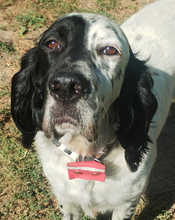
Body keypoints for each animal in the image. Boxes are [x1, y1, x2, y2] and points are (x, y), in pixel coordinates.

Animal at [10, 0, 175, 219]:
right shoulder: (67, 200)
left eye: (110, 50)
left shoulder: (126, 203)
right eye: (51, 43)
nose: (66, 86)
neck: (84, 154)